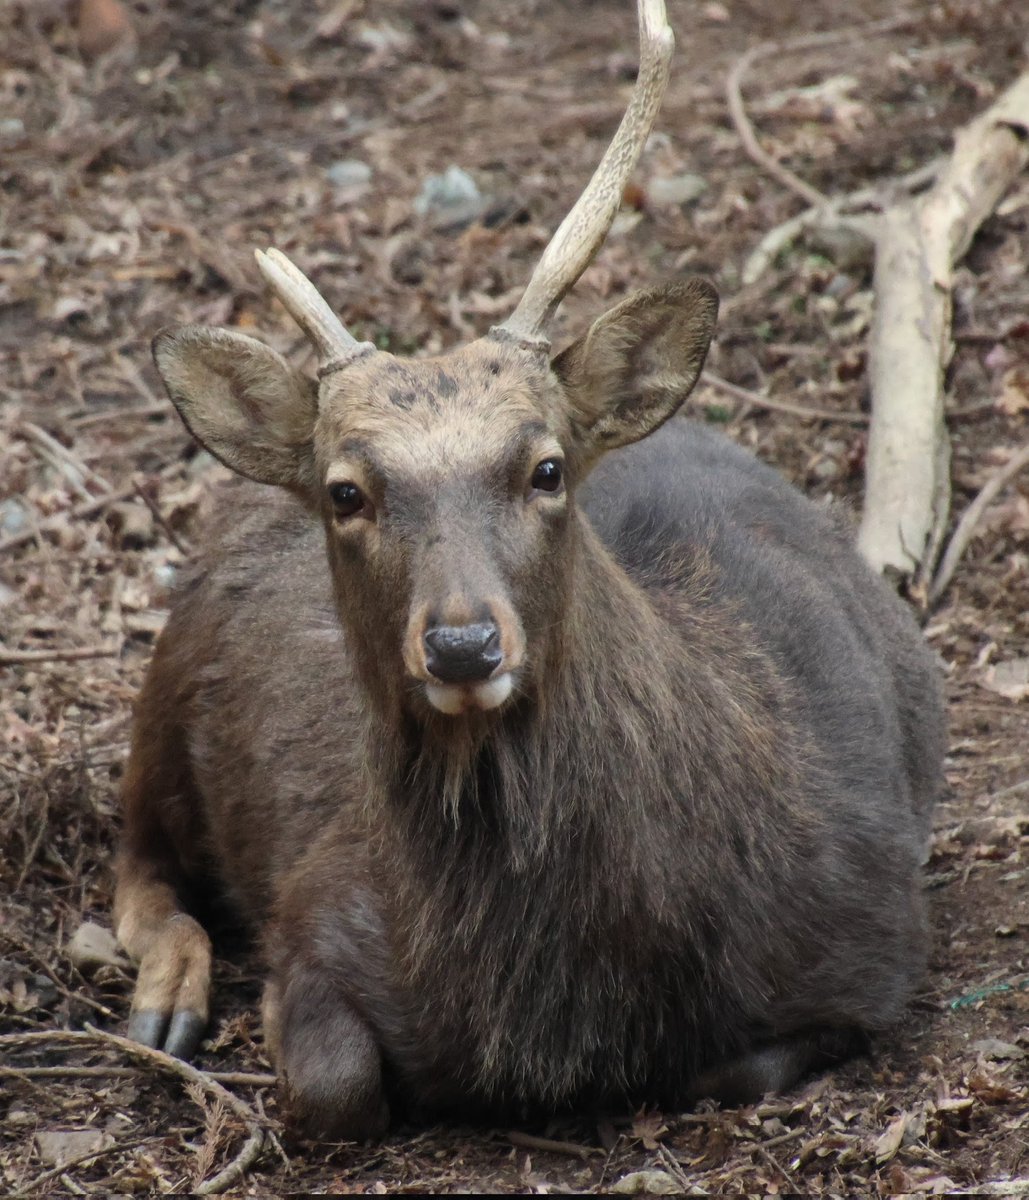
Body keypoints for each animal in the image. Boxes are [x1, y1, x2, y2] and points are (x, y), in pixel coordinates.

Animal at [112, 0, 945, 1140]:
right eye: (345, 491)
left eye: (546, 467)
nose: (463, 643)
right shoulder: (316, 899)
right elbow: (335, 1083)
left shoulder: (873, 943)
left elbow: (733, 1065)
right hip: (161, 694)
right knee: (136, 862)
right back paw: (167, 1009)